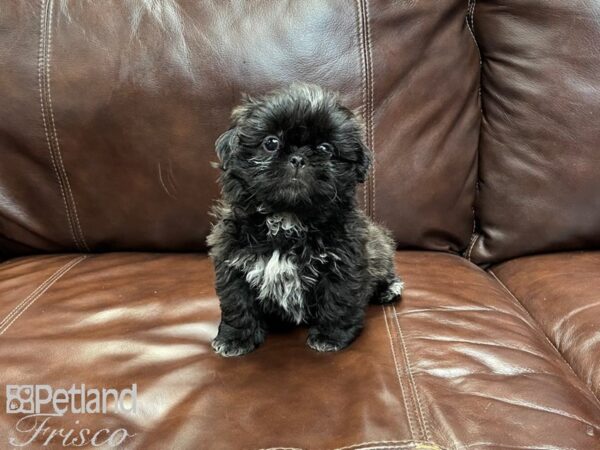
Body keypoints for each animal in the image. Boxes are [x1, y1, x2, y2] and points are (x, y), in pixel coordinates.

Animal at [207, 81, 404, 356]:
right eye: (271, 143)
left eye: (325, 148)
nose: (298, 158)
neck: (288, 218)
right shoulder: (232, 260)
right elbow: (237, 303)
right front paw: (235, 339)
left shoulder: (344, 263)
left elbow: (338, 300)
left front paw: (330, 337)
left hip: (380, 250)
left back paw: (389, 289)